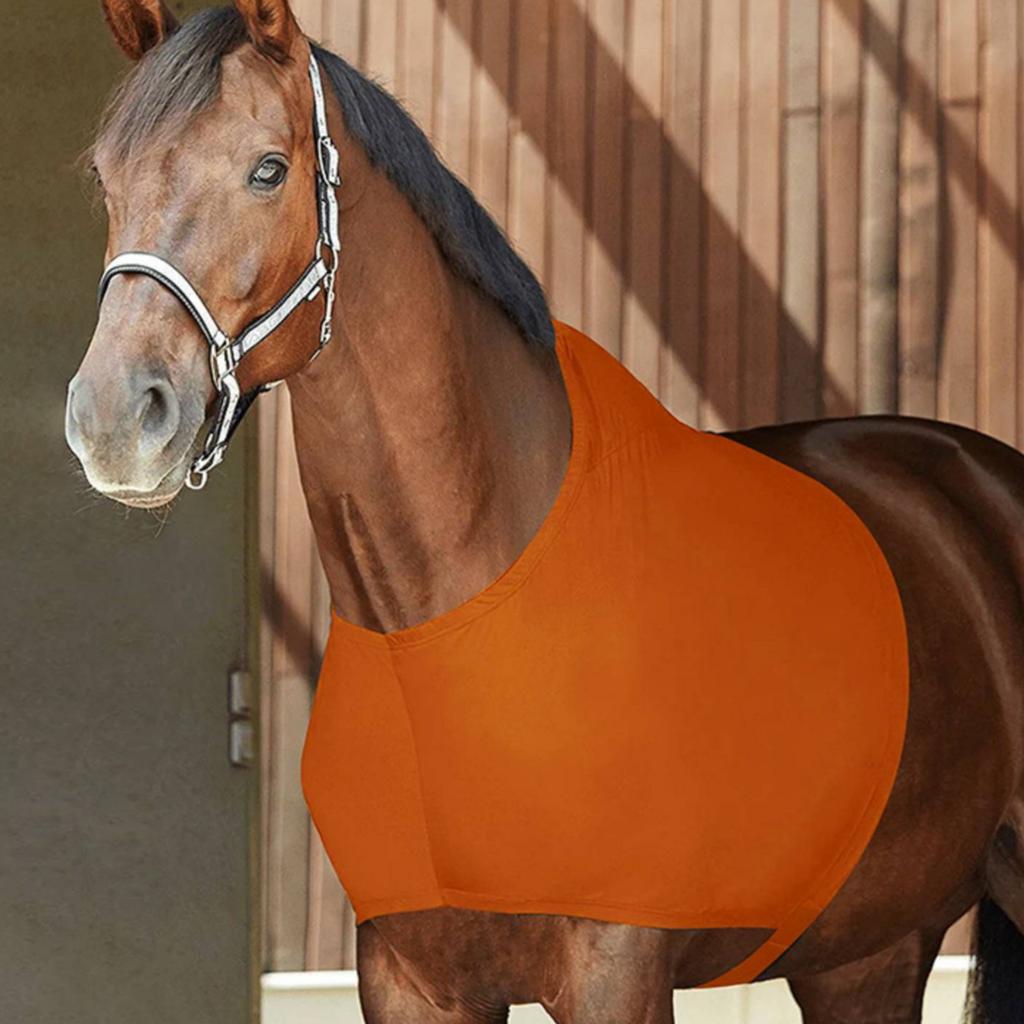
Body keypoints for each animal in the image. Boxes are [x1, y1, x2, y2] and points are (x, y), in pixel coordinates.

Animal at [65, 2, 1024, 1021]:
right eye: (105, 178)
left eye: (267, 169)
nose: (115, 417)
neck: (447, 621)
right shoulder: (411, 980)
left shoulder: (616, 972)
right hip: (865, 955)